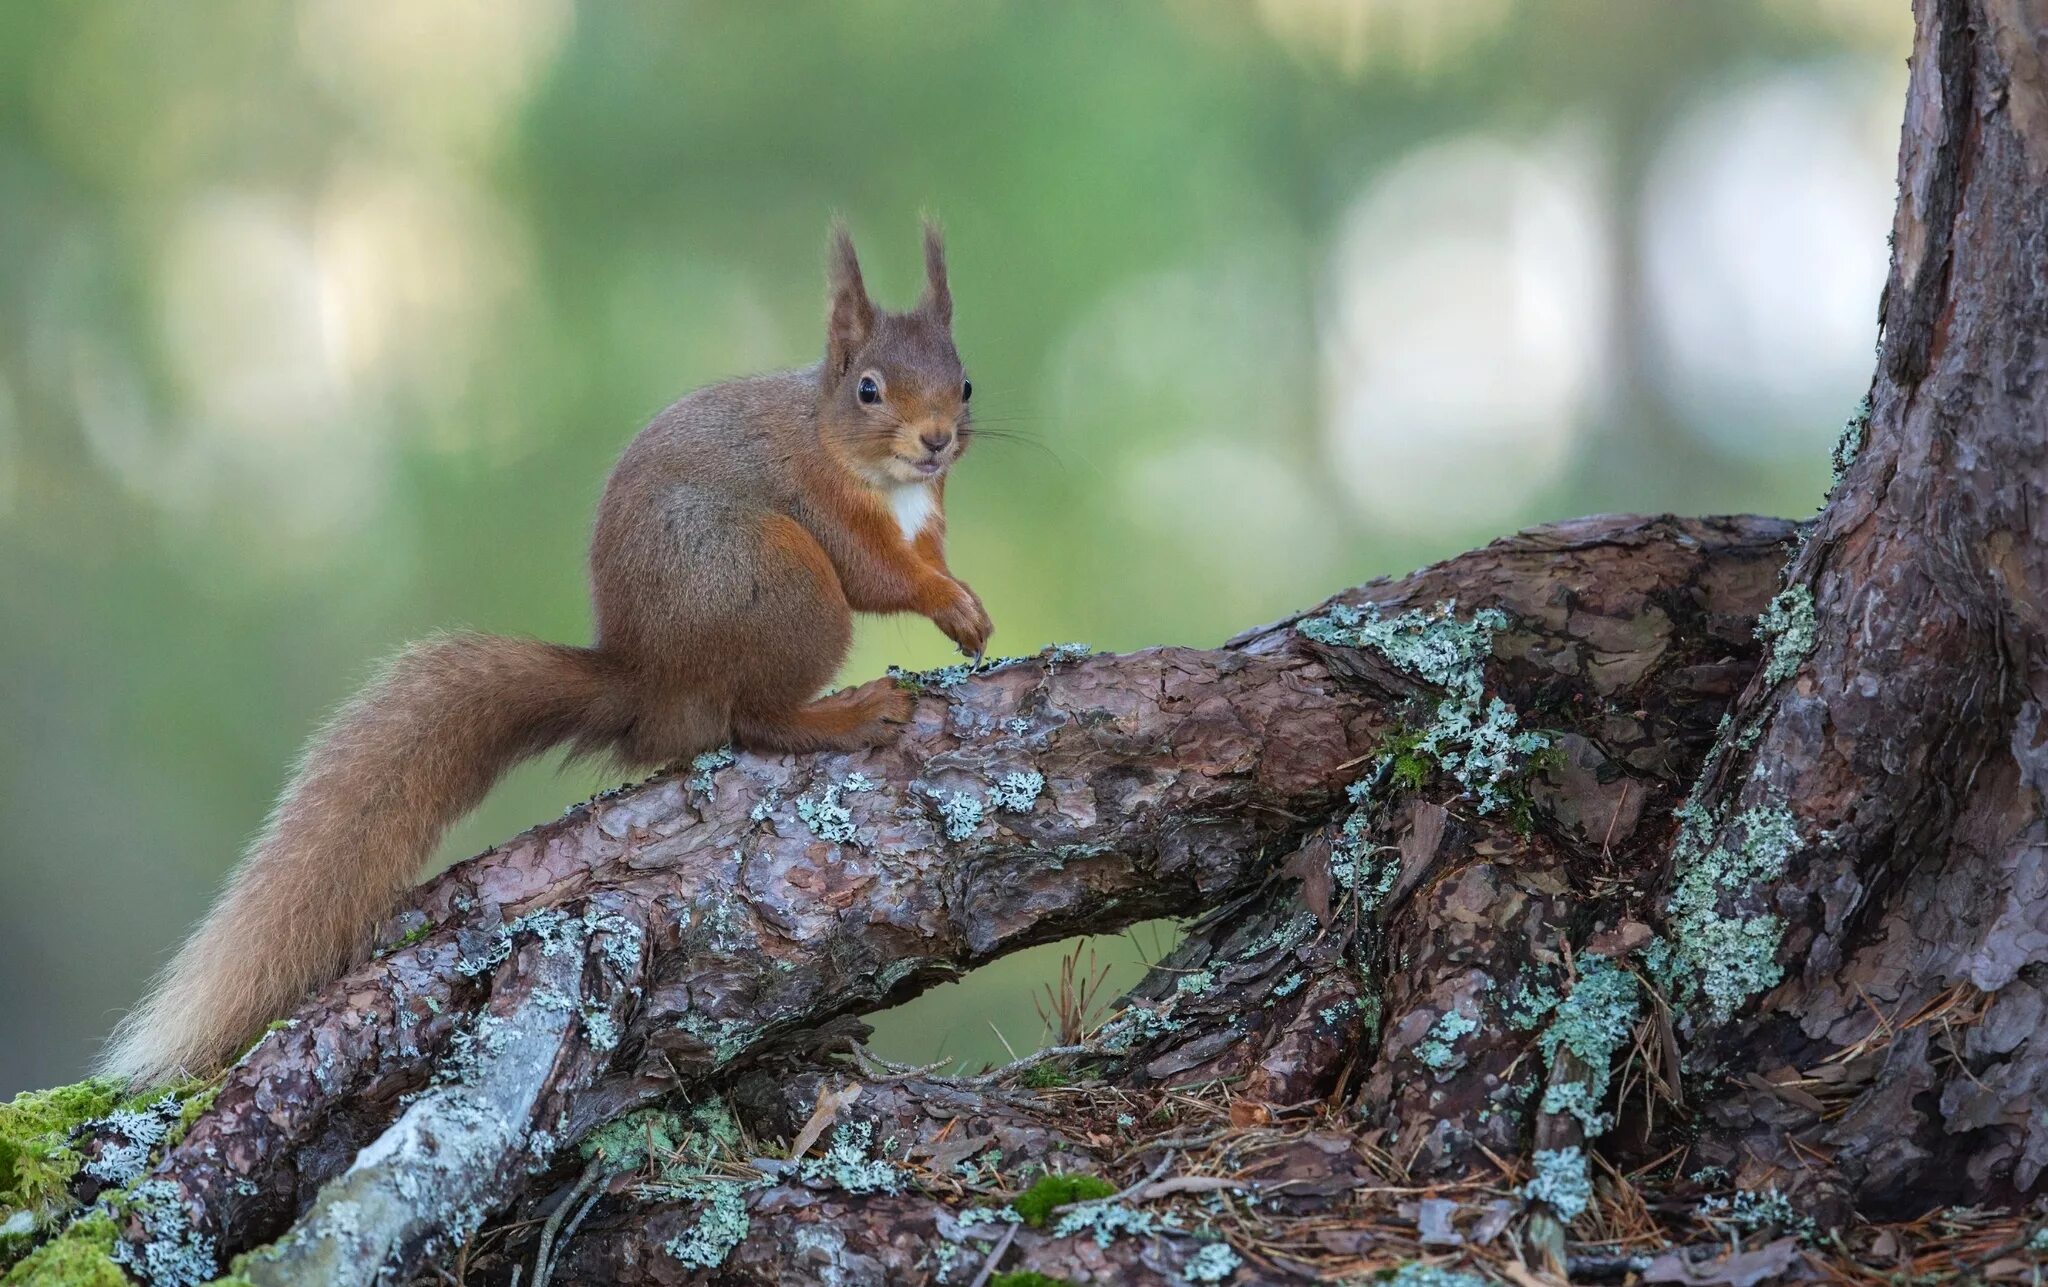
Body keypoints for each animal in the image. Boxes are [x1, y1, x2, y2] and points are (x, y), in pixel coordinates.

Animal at [108, 221, 995, 1082]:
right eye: (868, 389)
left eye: (966, 383)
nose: (936, 440)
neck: (865, 464)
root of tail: (651, 685)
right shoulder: (820, 500)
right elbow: (879, 575)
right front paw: (944, 601)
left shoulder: (929, 514)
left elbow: (930, 559)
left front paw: (968, 608)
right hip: (786, 583)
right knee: (753, 718)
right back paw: (847, 713)